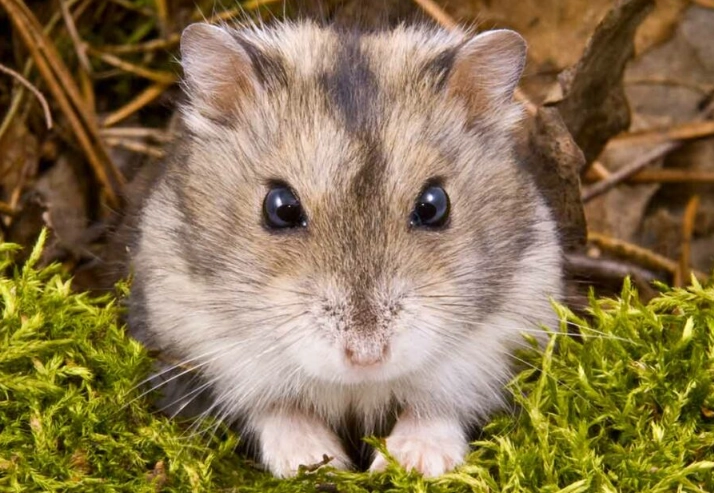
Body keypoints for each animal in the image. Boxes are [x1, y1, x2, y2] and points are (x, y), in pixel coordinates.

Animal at [126, 20, 563, 478]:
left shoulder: (501, 339)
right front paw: (316, 462)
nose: (366, 357)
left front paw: (411, 463)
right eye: (280, 207)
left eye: (434, 205)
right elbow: (275, 408)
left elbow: (437, 407)